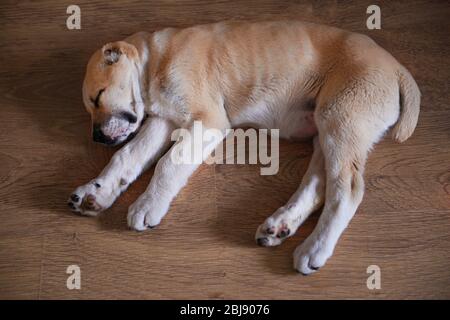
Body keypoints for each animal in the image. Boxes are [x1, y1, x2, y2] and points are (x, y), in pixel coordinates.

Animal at [67, 20, 422, 276]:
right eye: (91, 106)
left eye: (98, 96)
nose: (97, 138)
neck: (154, 60)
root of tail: (397, 68)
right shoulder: (163, 121)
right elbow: (126, 157)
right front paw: (97, 192)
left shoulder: (207, 121)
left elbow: (169, 163)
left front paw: (147, 205)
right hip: (327, 129)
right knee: (319, 183)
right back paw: (280, 226)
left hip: (341, 122)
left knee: (346, 189)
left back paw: (315, 248)